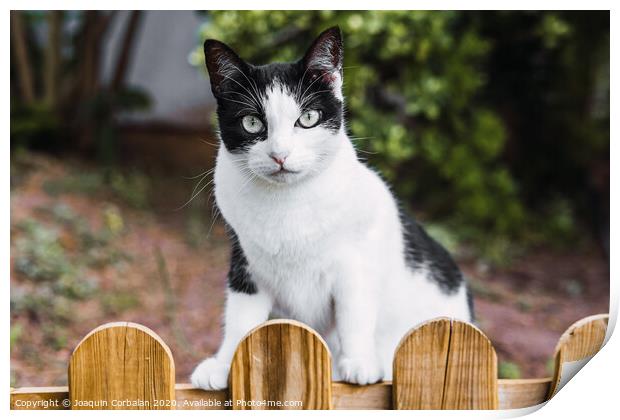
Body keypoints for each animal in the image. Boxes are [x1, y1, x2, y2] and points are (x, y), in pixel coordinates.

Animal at [191, 24, 472, 388]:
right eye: (252, 122)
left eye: (308, 118)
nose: (280, 154)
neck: (287, 205)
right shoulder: (245, 263)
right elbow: (241, 318)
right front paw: (224, 364)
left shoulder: (356, 264)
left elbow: (355, 314)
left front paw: (359, 362)